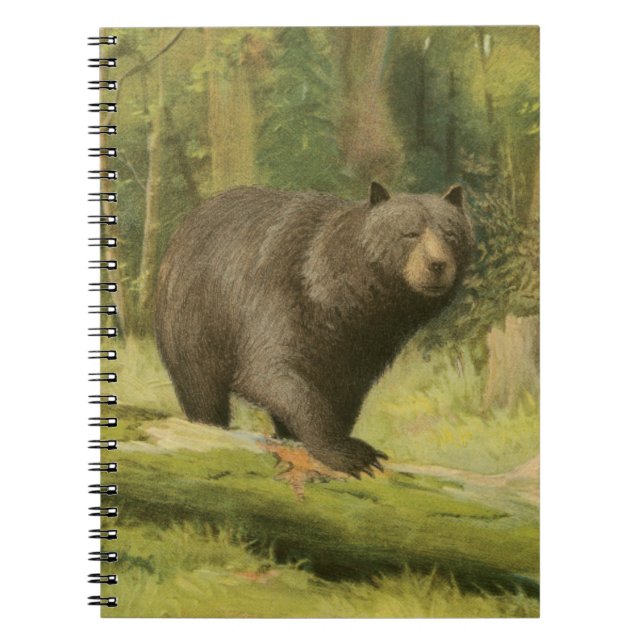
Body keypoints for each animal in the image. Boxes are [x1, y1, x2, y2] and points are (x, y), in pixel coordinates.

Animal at [155, 182, 474, 477]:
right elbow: (271, 372)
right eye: (409, 233)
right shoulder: (278, 297)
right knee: (201, 389)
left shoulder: (366, 345)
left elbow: (345, 391)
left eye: (451, 235)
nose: (437, 264)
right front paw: (351, 453)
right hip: (194, 319)